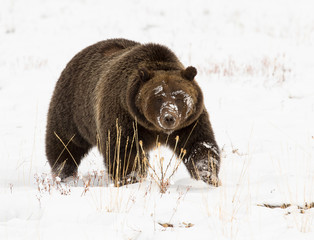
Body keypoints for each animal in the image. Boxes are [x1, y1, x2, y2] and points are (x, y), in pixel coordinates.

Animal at [45, 39, 220, 186]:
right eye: (158, 97)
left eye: (179, 97)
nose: (169, 118)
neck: (155, 129)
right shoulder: (125, 117)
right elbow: (125, 151)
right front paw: (130, 179)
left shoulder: (189, 123)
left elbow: (200, 145)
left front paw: (208, 177)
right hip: (73, 110)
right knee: (64, 144)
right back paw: (64, 174)